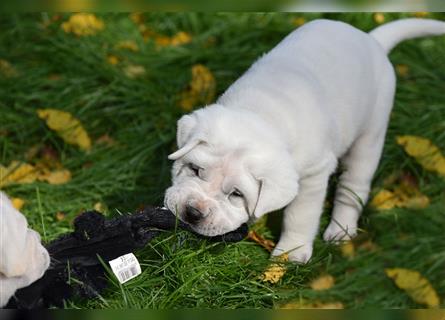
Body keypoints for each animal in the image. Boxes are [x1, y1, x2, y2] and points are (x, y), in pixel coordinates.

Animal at [164, 18, 444, 262]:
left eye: (236, 194)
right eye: (194, 170)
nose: (193, 212)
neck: (264, 114)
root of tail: (371, 40)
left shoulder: (313, 175)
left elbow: (301, 215)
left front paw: (291, 252)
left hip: (371, 134)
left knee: (353, 186)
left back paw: (341, 229)